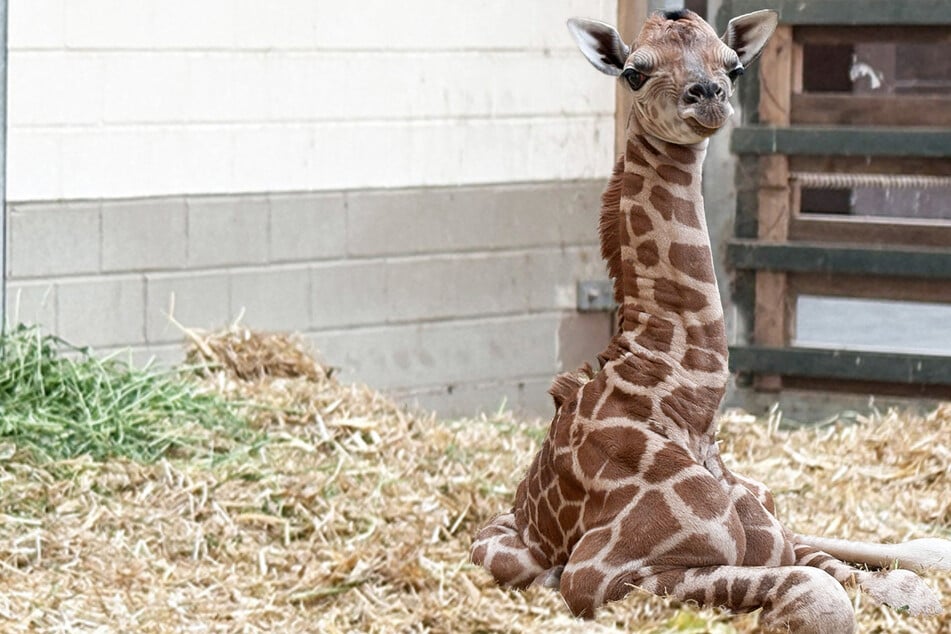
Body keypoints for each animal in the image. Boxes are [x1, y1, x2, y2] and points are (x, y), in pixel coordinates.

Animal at [471, 8, 951, 633]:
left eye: (734, 66)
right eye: (633, 71)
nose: (708, 96)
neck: (688, 406)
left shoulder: (773, 540)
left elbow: (891, 586)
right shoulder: (599, 574)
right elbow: (821, 594)